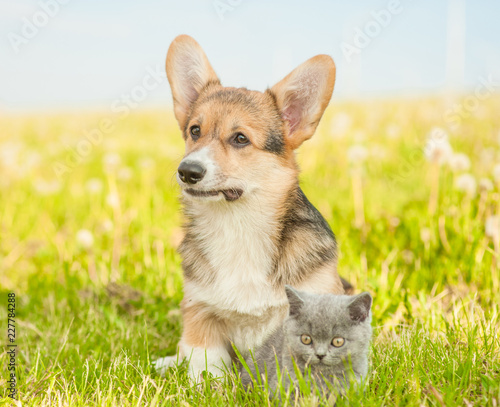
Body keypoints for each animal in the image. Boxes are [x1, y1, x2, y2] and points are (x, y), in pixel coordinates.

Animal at [154, 35, 350, 382]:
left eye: (241, 138)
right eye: (194, 131)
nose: (187, 171)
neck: (237, 224)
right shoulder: (200, 311)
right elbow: (204, 364)